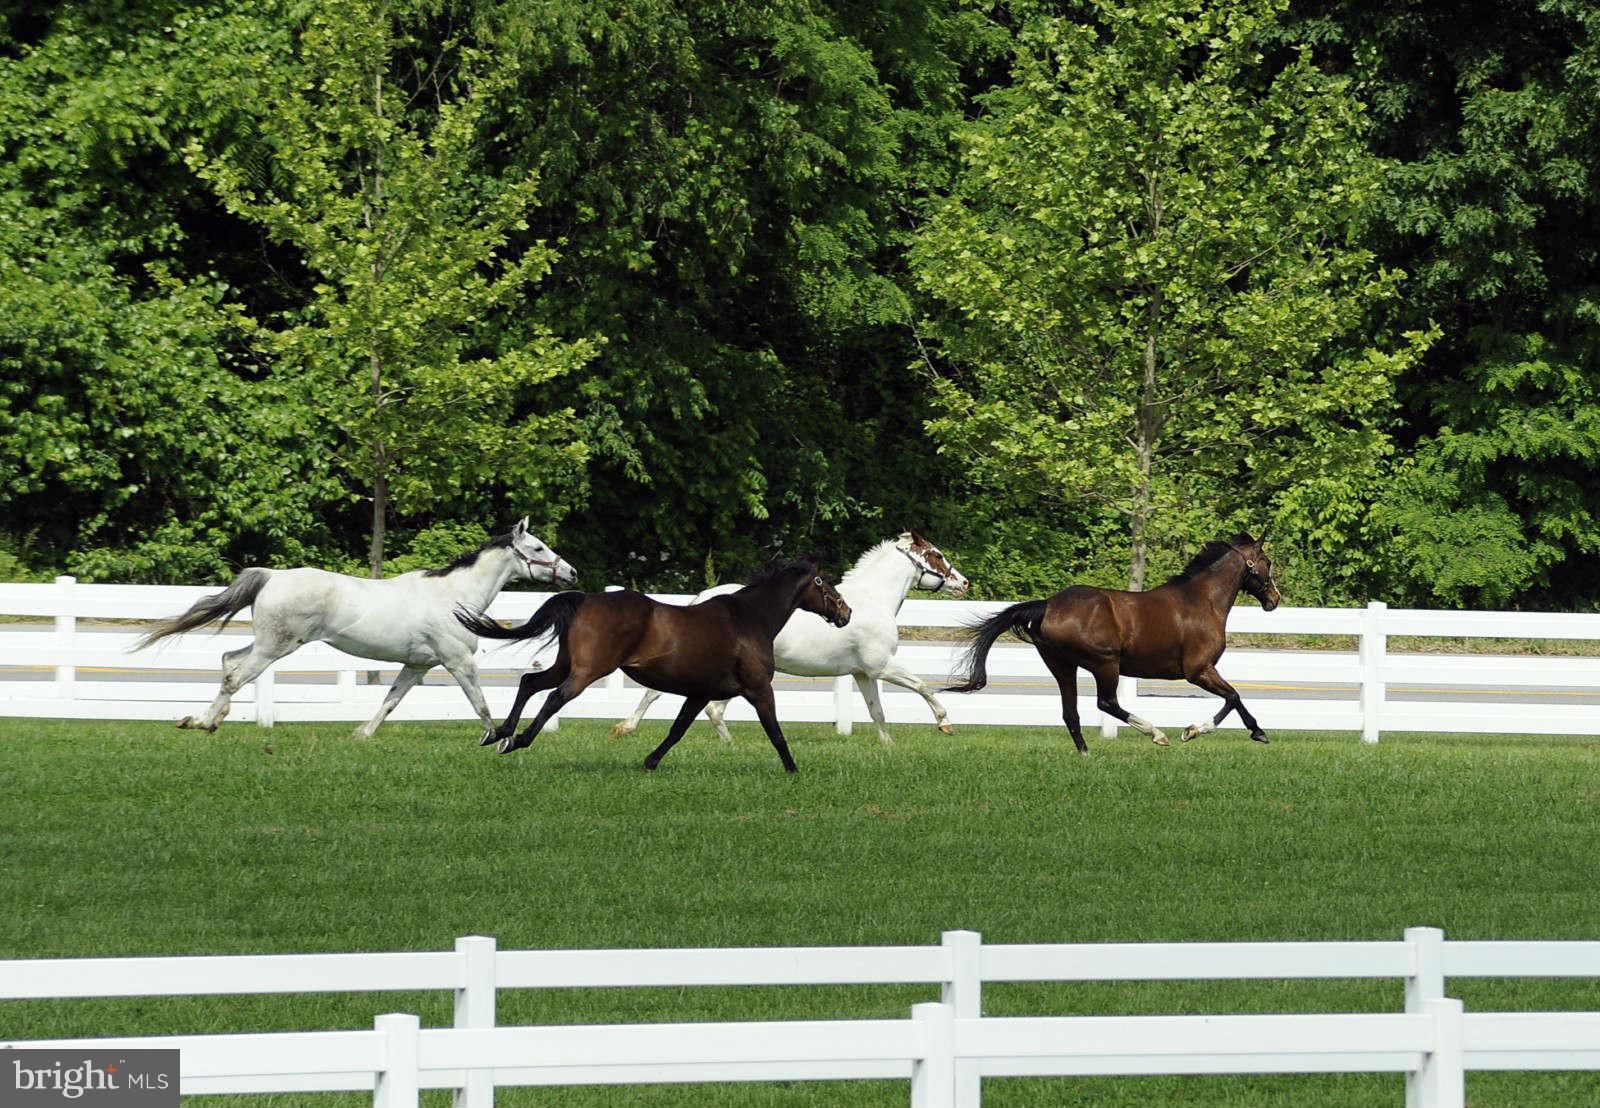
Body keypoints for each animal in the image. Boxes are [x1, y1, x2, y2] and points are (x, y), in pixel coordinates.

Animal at [136, 519, 577, 742]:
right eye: (537, 548)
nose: (571, 572)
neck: (453, 596)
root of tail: (272, 576)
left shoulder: (418, 665)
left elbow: (391, 700)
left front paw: (363, 733)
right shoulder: (458, 661)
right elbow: (480, 702)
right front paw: (494, 736)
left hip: (267, 644)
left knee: (229, 661)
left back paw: (201, 720)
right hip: (275, 647)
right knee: (236, 674)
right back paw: (203, 723)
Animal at [456, 556, 851, 772]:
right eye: (825, 582)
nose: (845, 613)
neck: (749, 620)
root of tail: (585, 599)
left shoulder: (701, 693)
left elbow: (677, 730)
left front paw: (649, 762)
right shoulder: (759, 689)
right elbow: (776, 733)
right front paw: (793, 770)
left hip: (567, 664)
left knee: (529, 682)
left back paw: (500, 734)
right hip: (587, 671)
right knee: (554, 697)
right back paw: (518, 740)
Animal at [609, 531, 969, 746]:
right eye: (937, 555)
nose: (963, 583)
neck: (872, 600)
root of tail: (701, 600)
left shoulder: (863, 674)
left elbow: (877, 712)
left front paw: (888, 747)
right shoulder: (881, 666)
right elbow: (923, 686)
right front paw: (945, 724)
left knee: (705, 706)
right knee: (682, 700)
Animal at [945, 533, 1280, 753]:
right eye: (1267, 562)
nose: (1274, 599)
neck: (1202, 601)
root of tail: (1048, 606)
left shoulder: (1202, 671)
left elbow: (1233, 697)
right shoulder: (1199, 670)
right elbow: (1233, 696)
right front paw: (1199, 731)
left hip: (1062, 666)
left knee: (1071, 712)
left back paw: (1085, 753)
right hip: (1105, 664)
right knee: (1106, 703)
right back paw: (1157, 734)